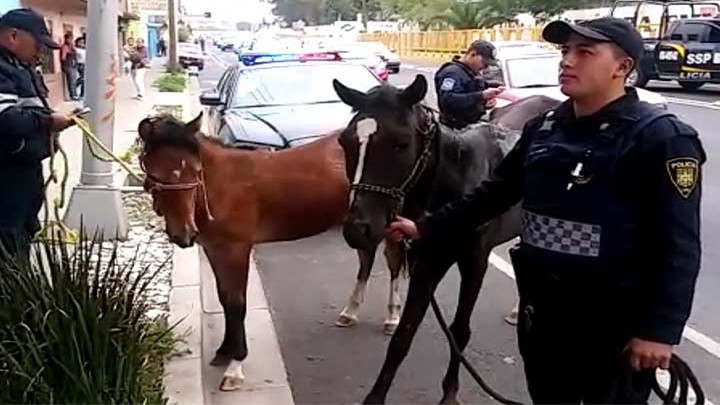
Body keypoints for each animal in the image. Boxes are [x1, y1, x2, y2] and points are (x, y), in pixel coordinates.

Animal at [136, 114, 406, 391]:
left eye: (197, 172)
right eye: (154, 173)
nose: (184, 234)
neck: (223, 186)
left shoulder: (236, 249)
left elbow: (237, 304)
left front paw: (235, 367)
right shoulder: (215, 249)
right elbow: (224, 299)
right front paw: (224, 351)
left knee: (394, 262)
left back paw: (392, 318)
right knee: (367, 258)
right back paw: (350, 313)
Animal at [332, 74, 560, 404]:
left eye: (401, 143)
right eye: (345, 142)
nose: (358, 228)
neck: (458, 183)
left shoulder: (474, 263)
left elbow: (460, 331)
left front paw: (450, 392)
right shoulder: (428, 260)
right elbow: (403, 334)